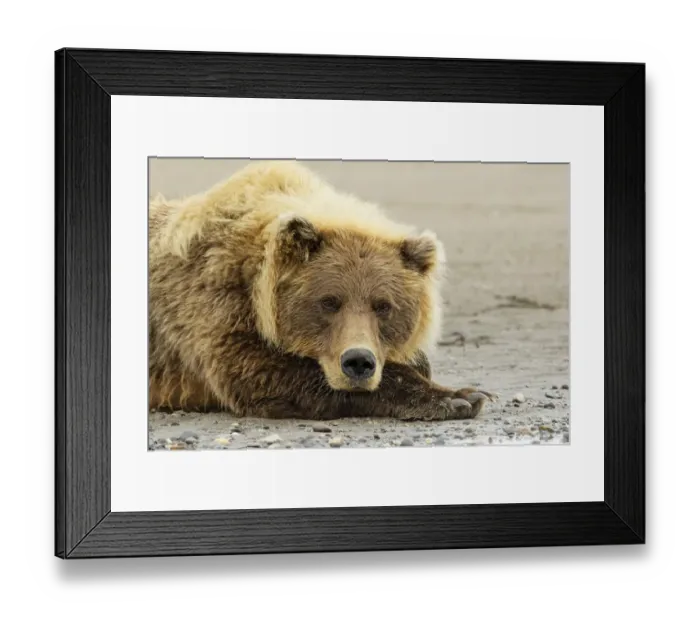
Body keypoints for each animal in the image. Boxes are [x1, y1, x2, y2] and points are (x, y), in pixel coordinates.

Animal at [148, 160, 493, 421]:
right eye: (329, 302)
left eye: (383, 305)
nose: (358, 362)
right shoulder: (213, 304)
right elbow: (258, 371)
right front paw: (458, 397)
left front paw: (462, 390)